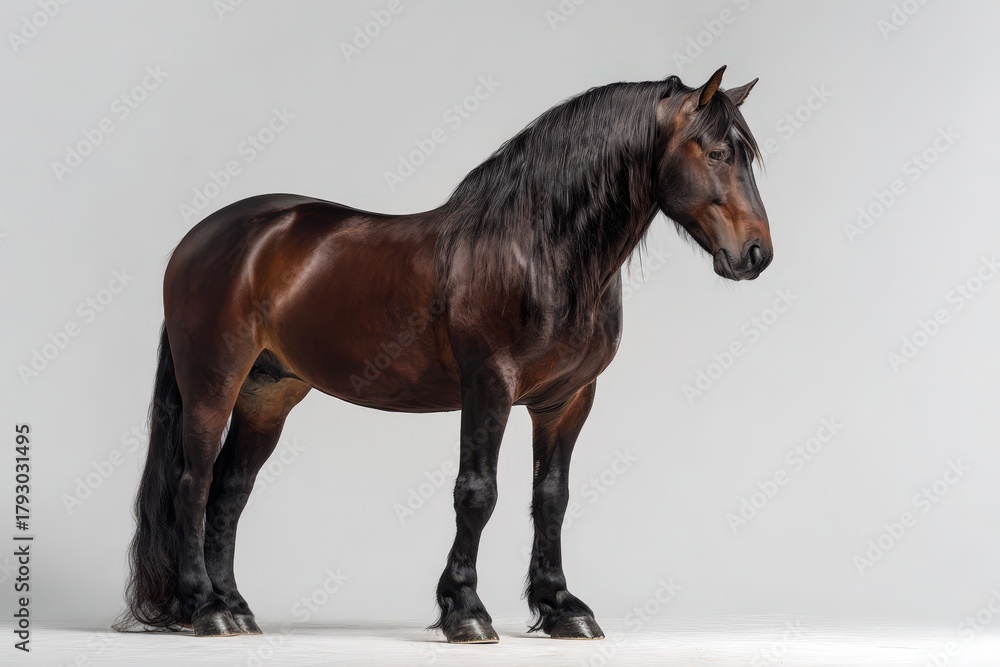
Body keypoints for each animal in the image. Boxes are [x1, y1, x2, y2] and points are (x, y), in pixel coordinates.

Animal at [115, 65, 772, 644]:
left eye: (747, 155)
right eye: (717, 153)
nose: (756, 254)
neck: (538, 253)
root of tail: (203, 237)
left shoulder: (566, 401)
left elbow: (552, 499)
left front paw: (563, 608)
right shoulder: (489, 386)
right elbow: (477, 492)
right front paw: (466, 610)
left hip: (267, 394)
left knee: (229, 491)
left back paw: (236, 607)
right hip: (212, 382)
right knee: (193, 483)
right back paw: (206, 608)